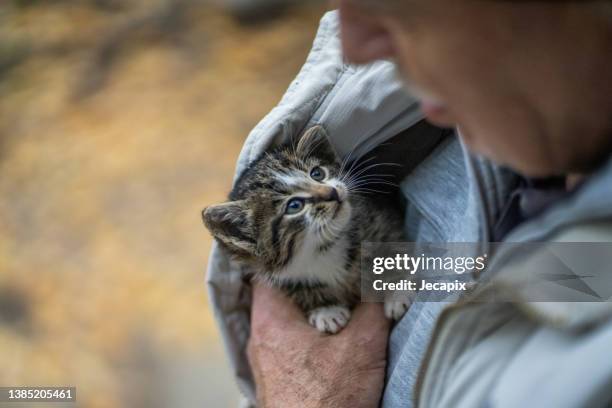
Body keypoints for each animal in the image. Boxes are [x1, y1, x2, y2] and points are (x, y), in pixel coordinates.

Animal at [203, 126, 408, 334]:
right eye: (294, 206)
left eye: (317, 173)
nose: (332, 192)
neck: (324, 248)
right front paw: (326, 310)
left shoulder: (380, 220)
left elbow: (396, 247)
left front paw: (398, 288)